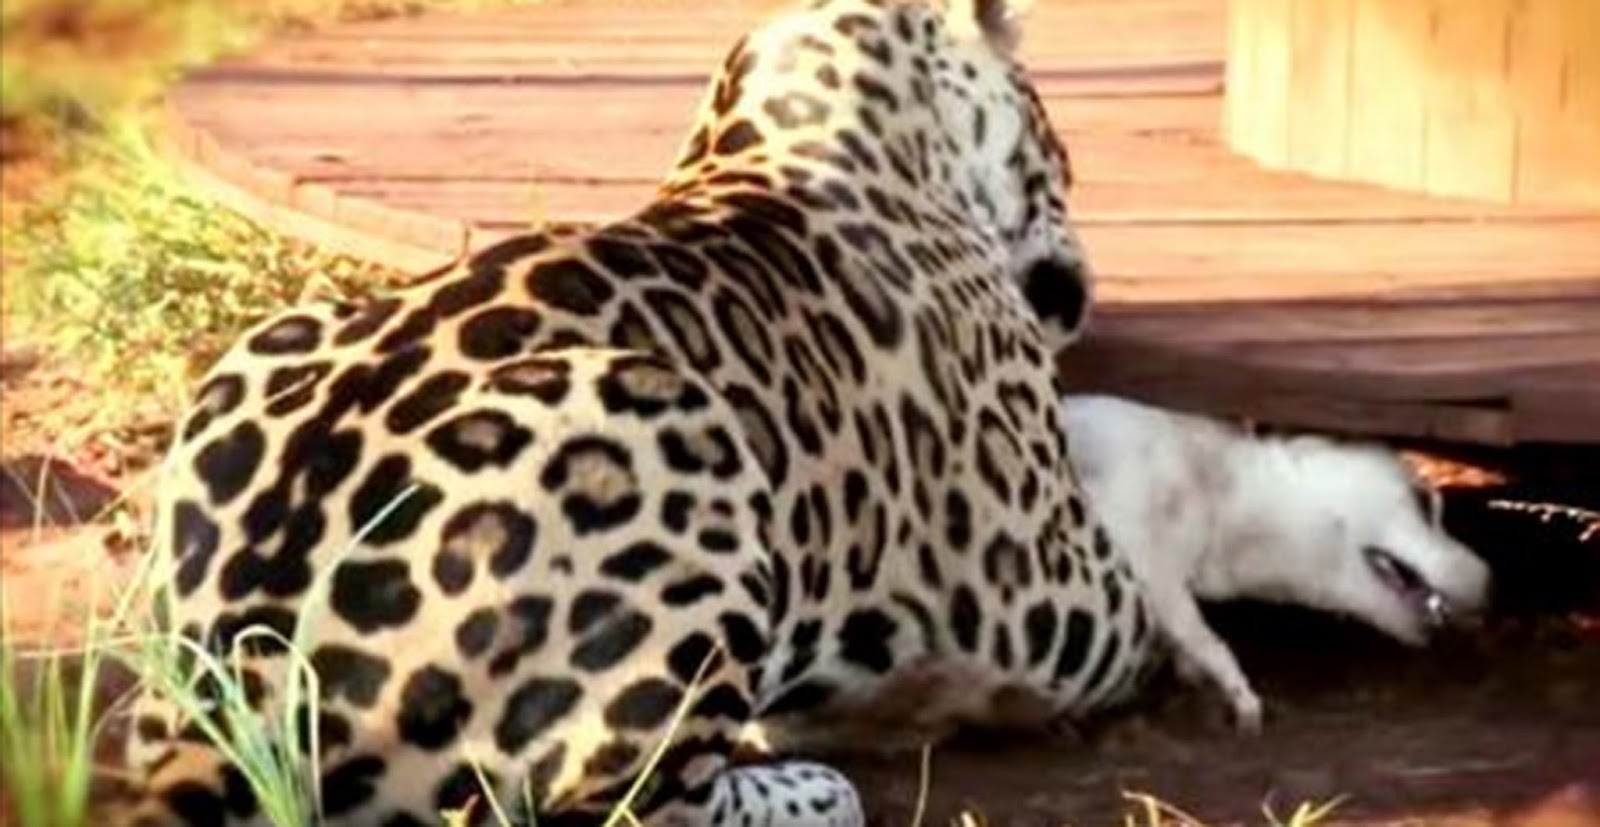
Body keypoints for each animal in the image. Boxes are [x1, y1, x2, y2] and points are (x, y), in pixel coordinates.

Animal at [117, 1, 1159, 825]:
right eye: (1061, 149)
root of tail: (238, 690)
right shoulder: (1062, 599)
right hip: (672, 424)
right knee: (624, 806)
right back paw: (814, 786)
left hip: (267, 344)